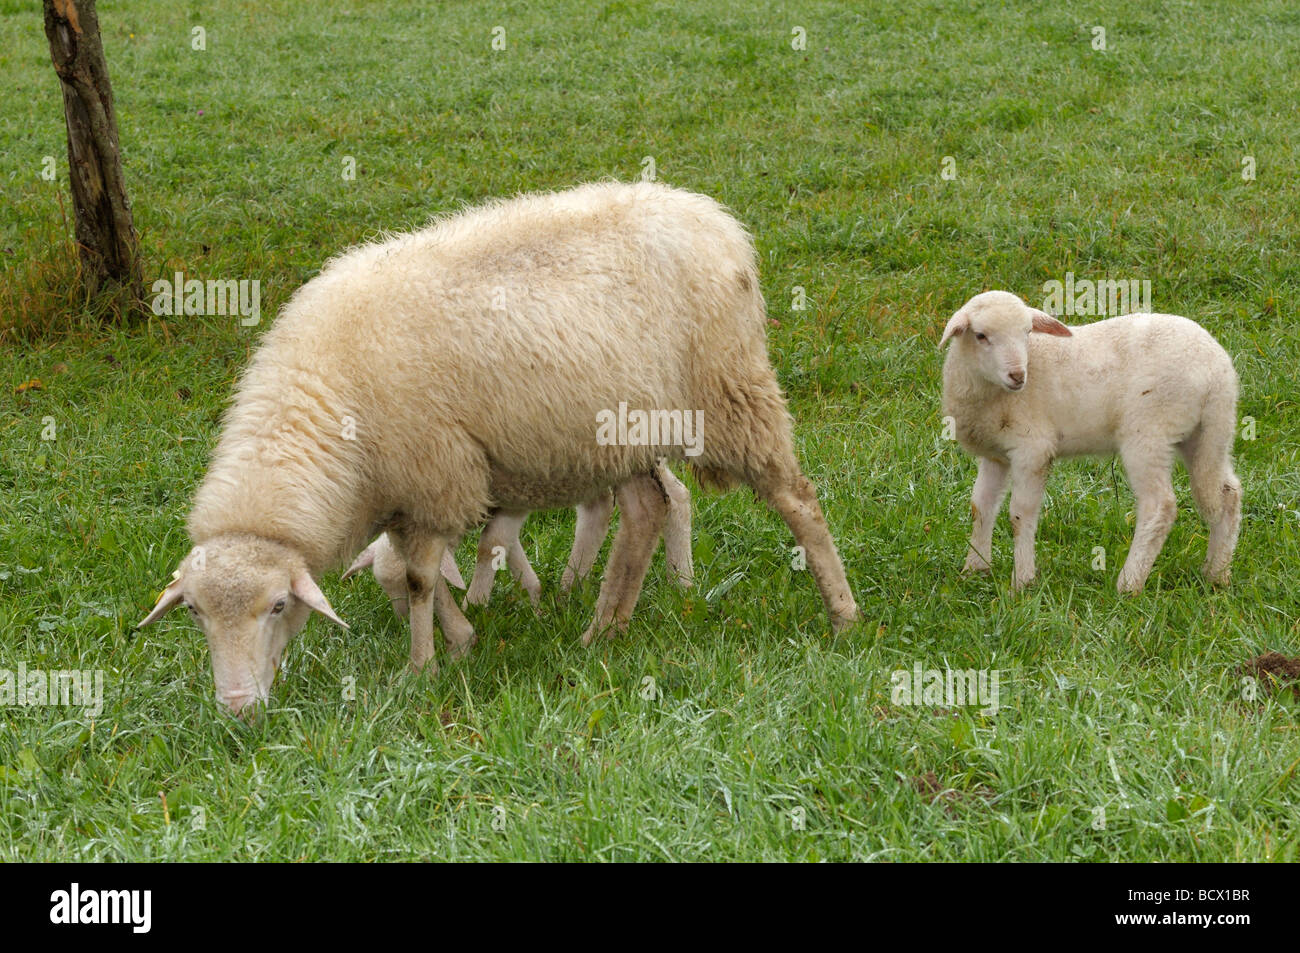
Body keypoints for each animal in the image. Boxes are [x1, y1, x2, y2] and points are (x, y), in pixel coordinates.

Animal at [137, 180, 857, 712]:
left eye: (278, 606)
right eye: (195, 613)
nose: (236, 707)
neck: (319, 408)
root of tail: (715, 219)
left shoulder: (434, 473)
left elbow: (421, 576)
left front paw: (424, 664)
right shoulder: (406, 490)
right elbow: (410, 570)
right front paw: (460, 638)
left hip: (730, 394)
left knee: (797, 498)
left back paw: (843, 614)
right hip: (623, 435)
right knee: (646, 511)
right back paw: (603, 629)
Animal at [946, 286, 1237, 590]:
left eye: (1027, 332)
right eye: (980, 335)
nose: (1017, 375)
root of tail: (1217, 372)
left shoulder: (1033, 449)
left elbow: (1019, 514)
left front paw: (1022, 582)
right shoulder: (996, 455)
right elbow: (981, 506)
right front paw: (974, 570)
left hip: (1149, 431)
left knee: (1160, 505)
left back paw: (1129, 583)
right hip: (1208, 432)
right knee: (1227, 493)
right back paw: (1216, 574)